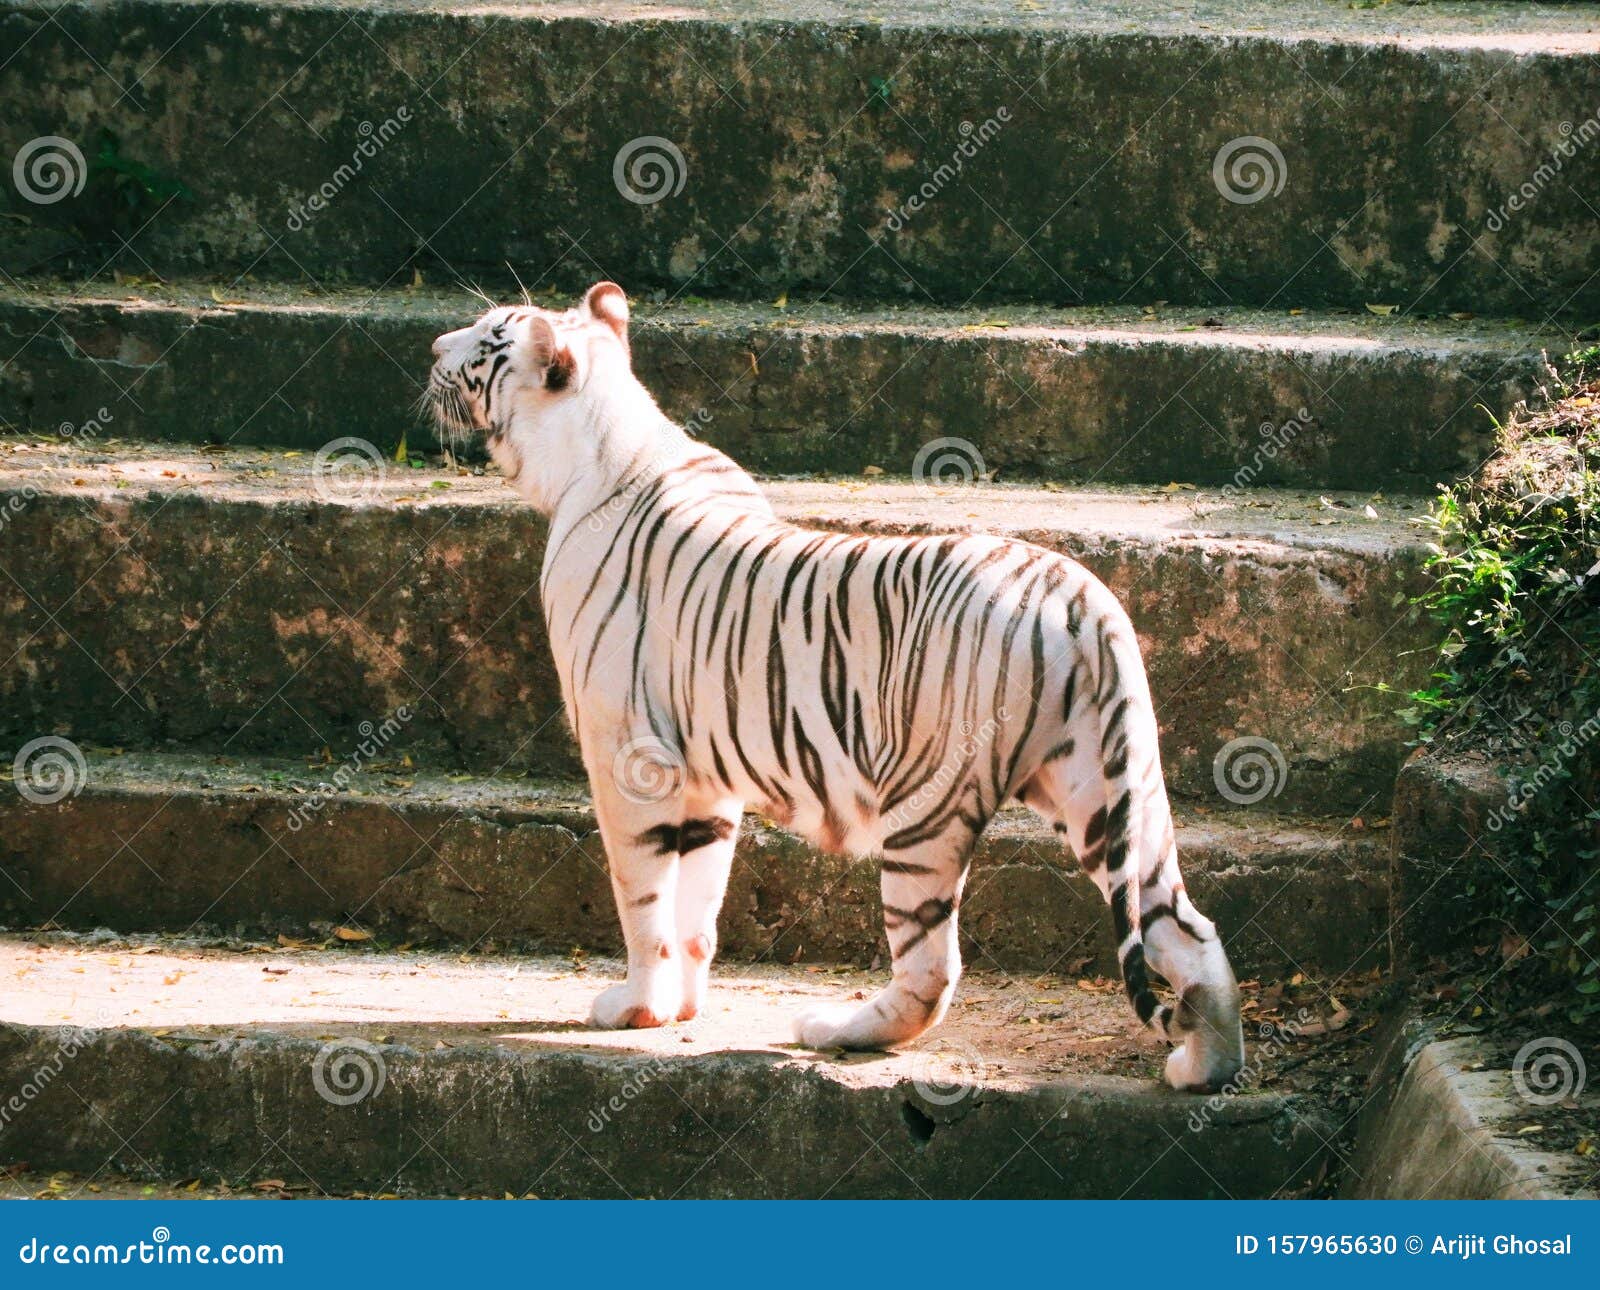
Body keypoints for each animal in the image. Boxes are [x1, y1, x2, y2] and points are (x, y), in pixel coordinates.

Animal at [428, 280, 1248, 1088]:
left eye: (488, 335)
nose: (433, 346)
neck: (601, 443)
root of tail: (1082, 598)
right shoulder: (705, 778)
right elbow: (696, 903)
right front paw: (682, 1007)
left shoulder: (630, 755)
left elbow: (643, 898)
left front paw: (635, 1009)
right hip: (1108, 794)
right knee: (1189, 929)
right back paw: (1203, 1067)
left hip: (924, 805)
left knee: (931, 967)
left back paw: (835, 1030)